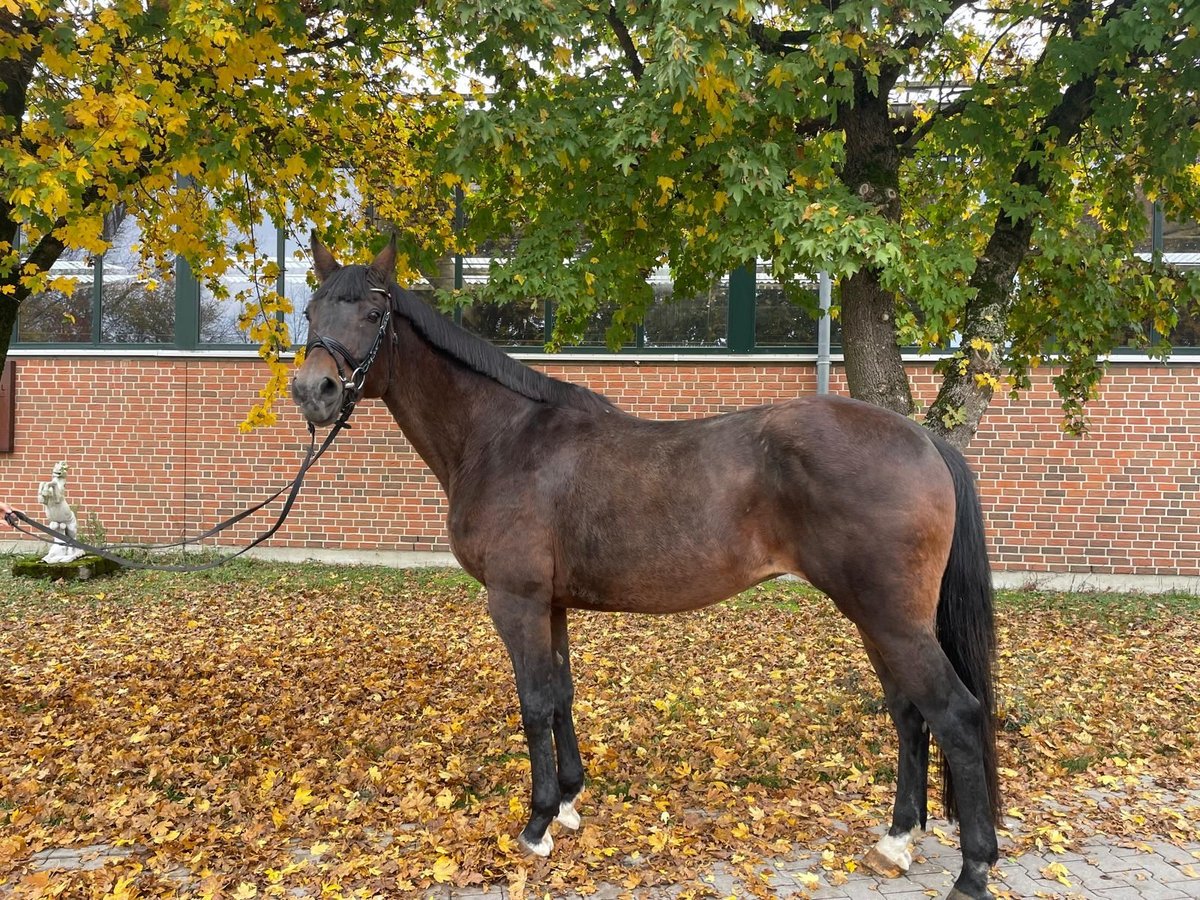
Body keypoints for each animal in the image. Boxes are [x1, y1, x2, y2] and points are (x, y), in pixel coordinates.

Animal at [292, 240, 1003, 900]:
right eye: (310, 308)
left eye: (374, 310)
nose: (311, 392)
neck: (502, 438)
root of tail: (921, 439)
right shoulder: (551, 604)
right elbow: (561, 695)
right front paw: (570, 802)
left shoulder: (516, 601)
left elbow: (534, 704)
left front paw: (538, 824)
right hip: (877, 618)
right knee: (910, 713)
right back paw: (897, 841)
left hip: (890, 617)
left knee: (957, 715)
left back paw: (972, 871)